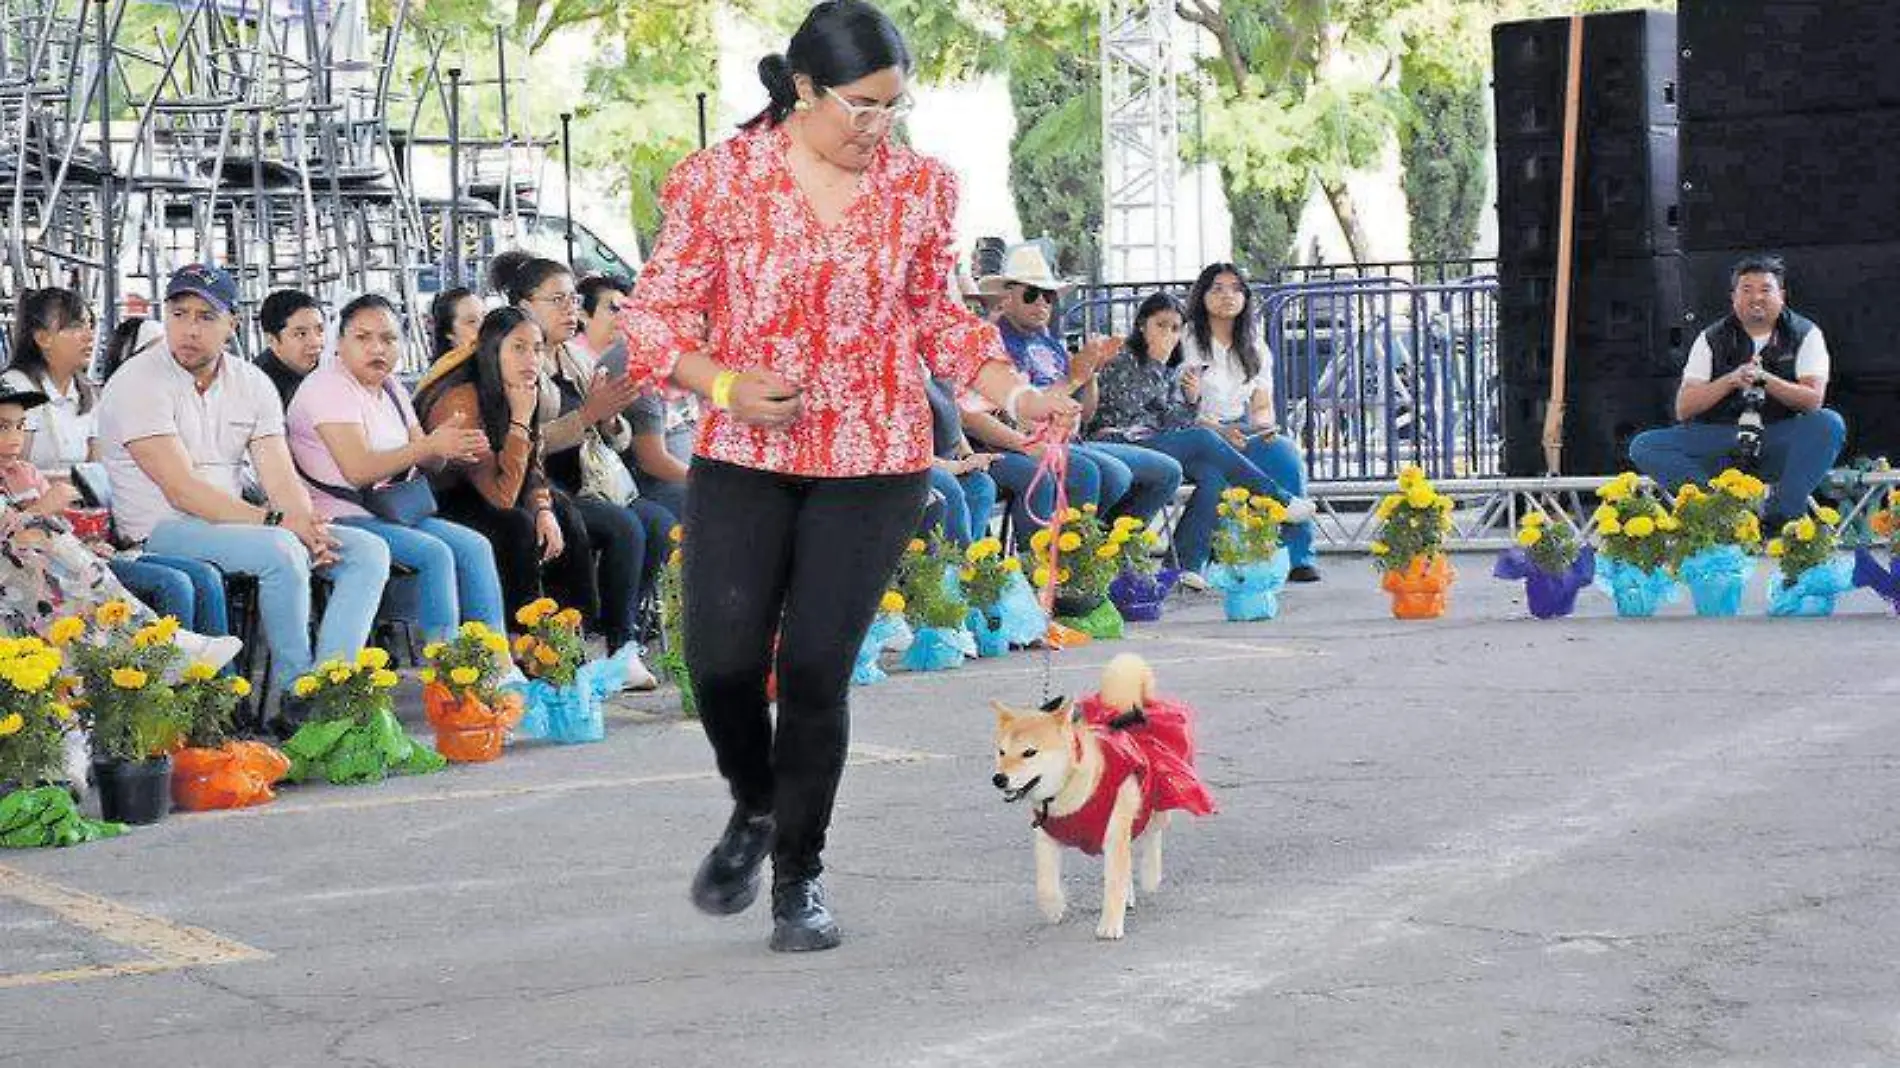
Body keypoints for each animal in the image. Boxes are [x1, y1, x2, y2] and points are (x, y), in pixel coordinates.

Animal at [995, 653, 1216, 934]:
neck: (1069, 794)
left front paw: (1110, 925)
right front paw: (1053, 908)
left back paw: (1150, 875)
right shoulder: (1046, 836)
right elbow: (1045, 883)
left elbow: (1114, 883)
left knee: (1153, 833)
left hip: (1156, 800)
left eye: (1029, 752)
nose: (999, 779)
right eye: (1001, 752)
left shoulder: (1114, 833)